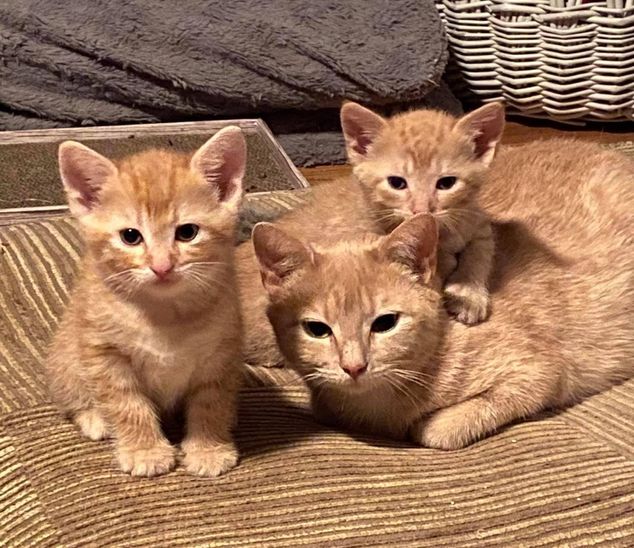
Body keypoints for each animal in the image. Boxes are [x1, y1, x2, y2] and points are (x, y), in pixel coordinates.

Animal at [46, 127, 244, 476]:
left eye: (187, 232)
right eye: (130, 236)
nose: (162, 266)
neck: (166, 315)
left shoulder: (223, 351)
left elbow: (211, 401)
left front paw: (208, 448)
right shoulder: (104, 353)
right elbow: (127, 404)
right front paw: (144, 450)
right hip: (64, 357)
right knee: (70, 394)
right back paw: (95, 418)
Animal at [251, 138, 632, 450]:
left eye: (386, 323)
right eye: (317, 329)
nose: (354, 367)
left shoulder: (539, 374)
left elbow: (435, 431)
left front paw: (423, 425)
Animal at [340, 100, 504, 324]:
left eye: (447, 183)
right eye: (397, 183)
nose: (421, 210)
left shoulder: (478, 221)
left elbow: (480, 252)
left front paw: (469, 293)